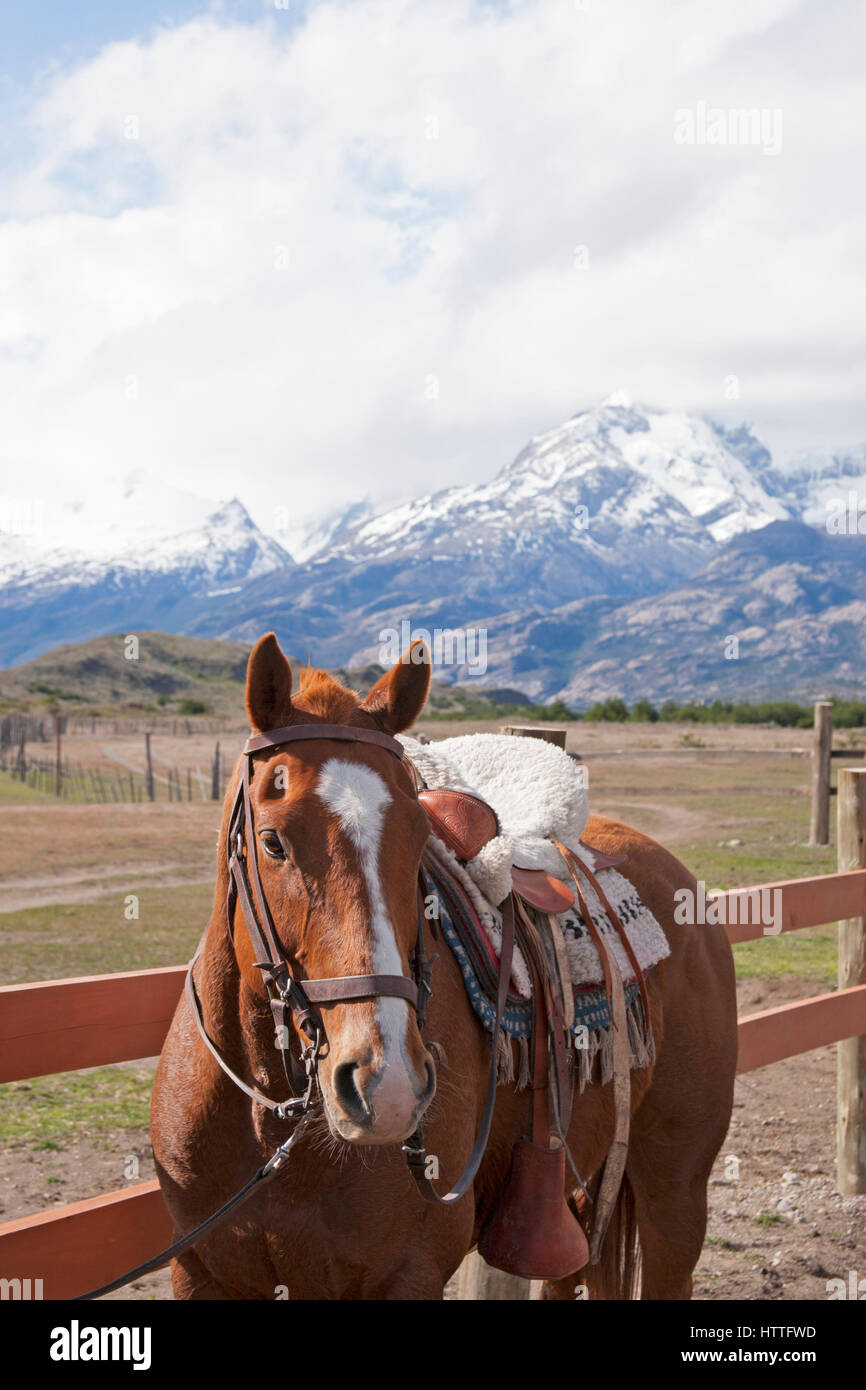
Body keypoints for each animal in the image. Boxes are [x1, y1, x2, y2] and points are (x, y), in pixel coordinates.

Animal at [150, 633, 739, 1301]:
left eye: (417, 836)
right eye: (273, 841)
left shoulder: (409, 1274)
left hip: (675, 1189)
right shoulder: (200, 1271)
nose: (387, 1086)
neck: (272, 1124)